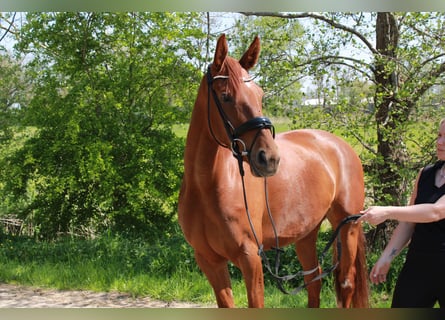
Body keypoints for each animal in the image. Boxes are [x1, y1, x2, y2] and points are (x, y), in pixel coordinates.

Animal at [177, 35, 368, 308]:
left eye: (259, 94)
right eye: (225, 96)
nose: (269, 158)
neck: (206, 187)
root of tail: (340, 146)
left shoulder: (250, 258)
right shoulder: (209, 260)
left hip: (347, 227)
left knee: (346, 283)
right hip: (307, 233)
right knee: (314, 281)